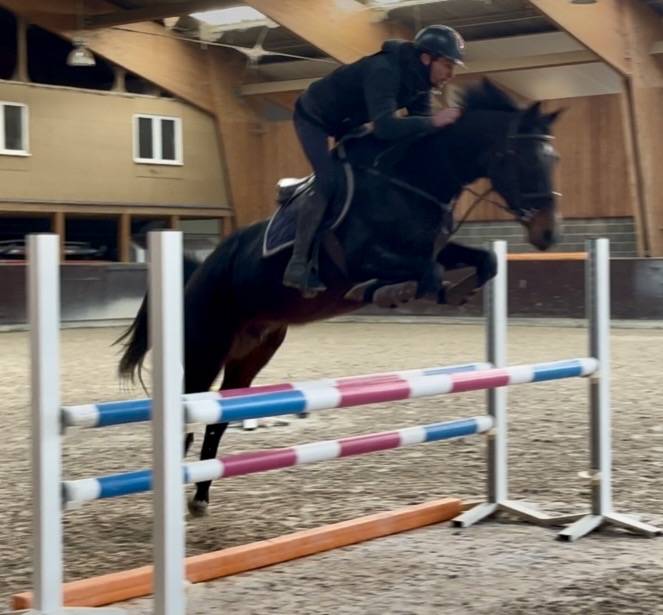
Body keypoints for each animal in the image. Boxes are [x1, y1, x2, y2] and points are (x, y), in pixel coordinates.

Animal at [117, 79, 562, 516]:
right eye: (521, 157)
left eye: (553, 159)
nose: (548, 234)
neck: (413, 180)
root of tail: (198, 271)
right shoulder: (361, 258)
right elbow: (423, 272)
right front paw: (396, 291)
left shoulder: (433, 247)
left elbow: (482, 260)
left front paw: (454, 291)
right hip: (206, 347)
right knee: (190, 405)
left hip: (252, 352)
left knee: (218, 417)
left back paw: (202, 494)